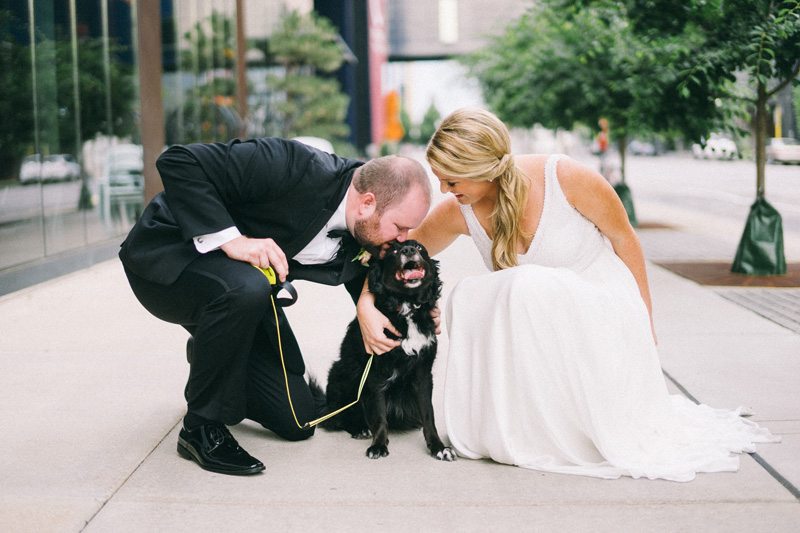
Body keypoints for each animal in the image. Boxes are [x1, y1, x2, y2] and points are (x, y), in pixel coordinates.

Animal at [318, 239, 456, 460]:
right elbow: (379, 414)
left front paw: (438, 447)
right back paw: (359, 428)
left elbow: (429, 414)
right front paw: (379, 445)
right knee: (338, 417)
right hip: (342, 373)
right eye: (393, 251)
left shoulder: (423, 374)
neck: (407, 308)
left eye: (419, 247)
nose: (408, 250)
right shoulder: (376, 373)